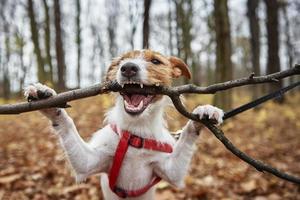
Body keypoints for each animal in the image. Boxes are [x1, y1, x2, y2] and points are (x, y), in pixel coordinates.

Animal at [24, 50, 224, 200]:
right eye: (121, 61)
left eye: (155, 61)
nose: (128, 67)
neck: (137, 130)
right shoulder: (88, 162)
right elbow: (67, 124)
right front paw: (48, 100)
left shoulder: (171, 170)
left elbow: (187, 136)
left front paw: (203, 113)